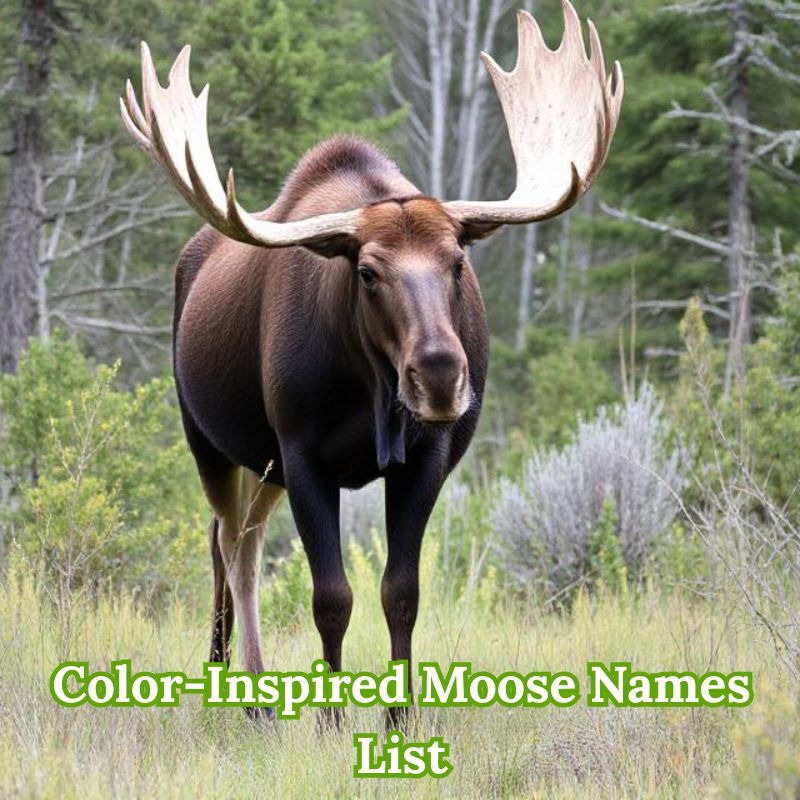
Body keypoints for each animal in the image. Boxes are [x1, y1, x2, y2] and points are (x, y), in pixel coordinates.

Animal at [120, 0, 622, 724]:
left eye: (457, 261)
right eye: (366, 271)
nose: (439, 373)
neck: (372, 393)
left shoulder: (425, 458)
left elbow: (399, 592)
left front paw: (400, 714)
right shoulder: (303, 454)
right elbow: (331, 596)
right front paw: (330, 716)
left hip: (263, 465)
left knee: (241, 540)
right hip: (208, 438)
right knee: (230, 547)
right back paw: (239, 687)